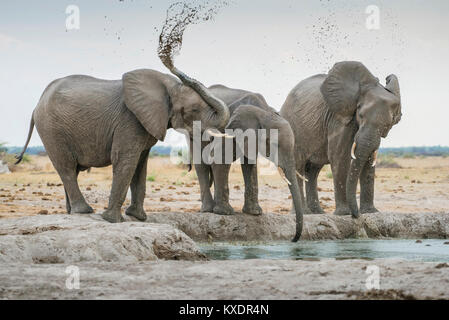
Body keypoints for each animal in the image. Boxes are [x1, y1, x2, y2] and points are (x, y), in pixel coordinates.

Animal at [15, 66, 229, 224]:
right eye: (194, 109)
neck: (167, 84)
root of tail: (37, 104)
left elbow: (140, 166)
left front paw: (138, 217)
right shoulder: (129, 119)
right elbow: (126, 161)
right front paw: (113, 220)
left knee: (71, 170)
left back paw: (71, 212)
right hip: (52, 129)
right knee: (66, 168)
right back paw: (84, 211)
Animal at [191, 86, 306, 241]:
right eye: (273, 144)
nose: (293, 239)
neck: (265, 112)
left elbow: (249, 164)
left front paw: (254, 213)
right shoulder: (230, 128)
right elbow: (220, 158)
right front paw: (225, 213)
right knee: (201, 164)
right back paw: (208, 210)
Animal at [278, 61, 400, 218]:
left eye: (388, 124)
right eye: (360, 114)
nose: (356, 215)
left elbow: (369, 159)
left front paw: (371, 212)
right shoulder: (337, 118)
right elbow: (339, 156)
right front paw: (344, 214)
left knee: (313, 171)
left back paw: (317, 213)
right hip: (292, 129)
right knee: (298, 165)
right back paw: (305, 213)